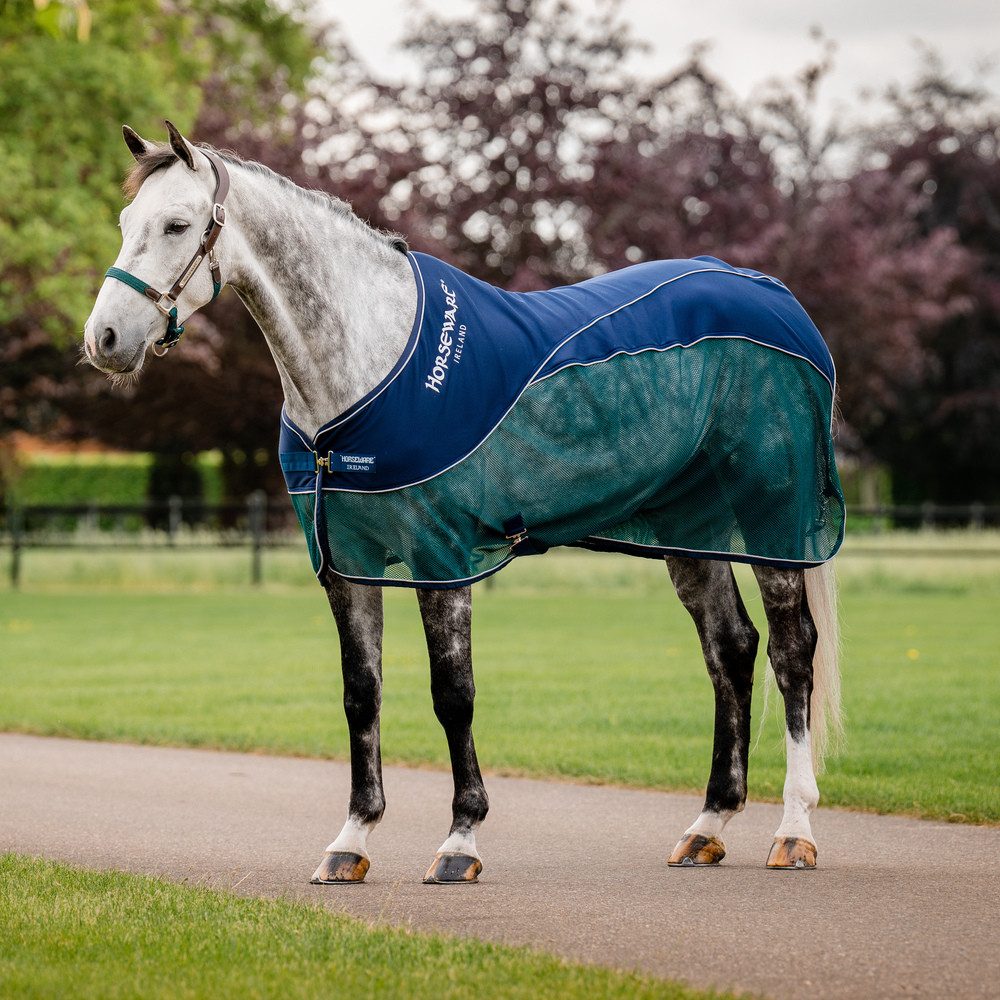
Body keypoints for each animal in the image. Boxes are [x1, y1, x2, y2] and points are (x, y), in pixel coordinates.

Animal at [84, 121, 844, 884]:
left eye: (177, 225)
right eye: (124, 222)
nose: (104, 340)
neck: (371, 362)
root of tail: (774, 295)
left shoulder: (440, 557)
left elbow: (453, 693)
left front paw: (460, 841)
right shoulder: (346, 565)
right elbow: (361, 692)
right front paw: (351, 840)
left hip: (774, 518)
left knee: (791, 652)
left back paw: (795, 831)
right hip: (689, 531)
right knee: (731, 648)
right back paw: (708, 824)